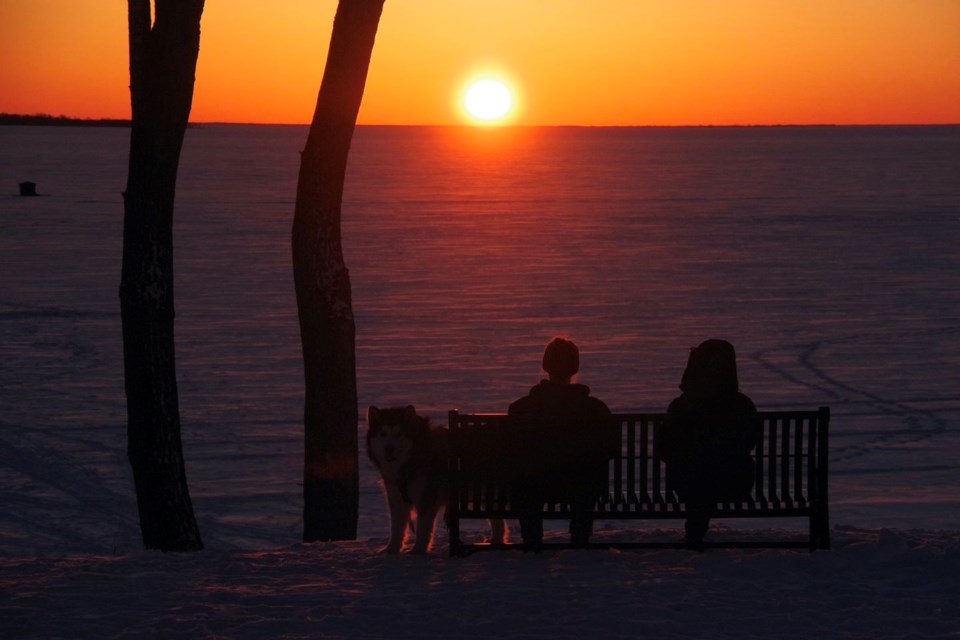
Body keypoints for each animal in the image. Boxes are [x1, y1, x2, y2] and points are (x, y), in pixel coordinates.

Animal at [364, 408, 506, 552]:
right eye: (383, 433)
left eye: (399, 434)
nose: (389, 448)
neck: (410, 460)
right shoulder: (397, 498)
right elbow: (396, 528)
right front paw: (391, 548)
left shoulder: (426, 498)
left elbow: (422, 529)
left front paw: (418, 549)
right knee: (498, 520)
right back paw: (496, 541)